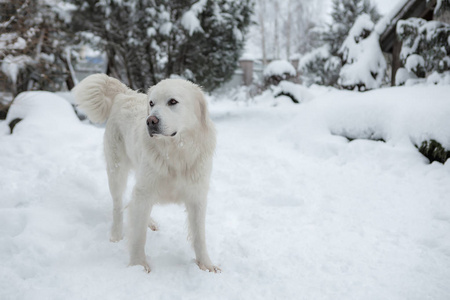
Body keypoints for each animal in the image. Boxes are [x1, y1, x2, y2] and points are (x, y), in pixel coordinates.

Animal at [73, 74, 219, 274]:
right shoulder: (144, 191)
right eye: (151, 103)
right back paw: (116, 235)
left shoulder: (197, 196)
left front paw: (206, 265)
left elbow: (199, 236)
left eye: (172, 102)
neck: (176, 153)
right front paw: (138, 265)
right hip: (117, 172)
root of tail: (125, 94)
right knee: (118, 205)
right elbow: (138, 235)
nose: (150, 121)